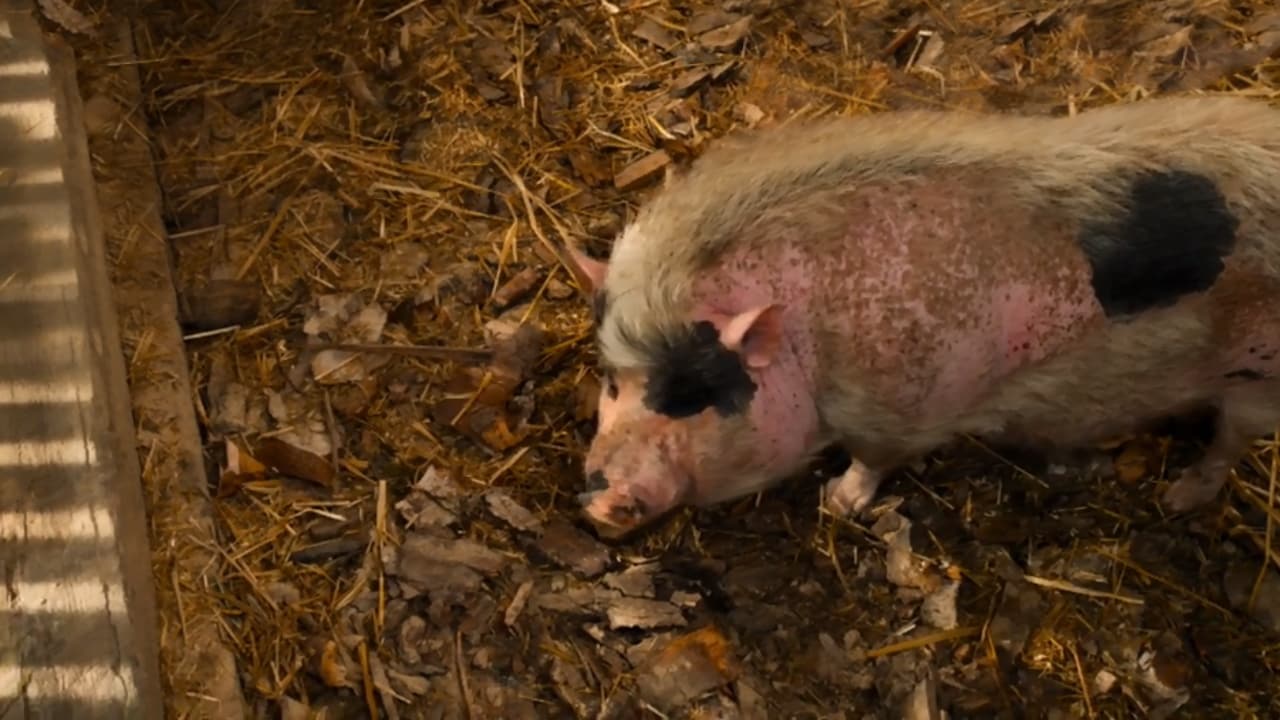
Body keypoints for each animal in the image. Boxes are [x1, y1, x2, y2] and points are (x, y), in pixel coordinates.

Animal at [568, 96, 1280, 538]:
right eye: (612, 382)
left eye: (694, 396)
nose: (601, 500)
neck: (814, 340)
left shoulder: (902, 409)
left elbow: (873, 461)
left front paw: (838, 504)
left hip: (1258, 379)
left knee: (1231, 442)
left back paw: (1177, 498)